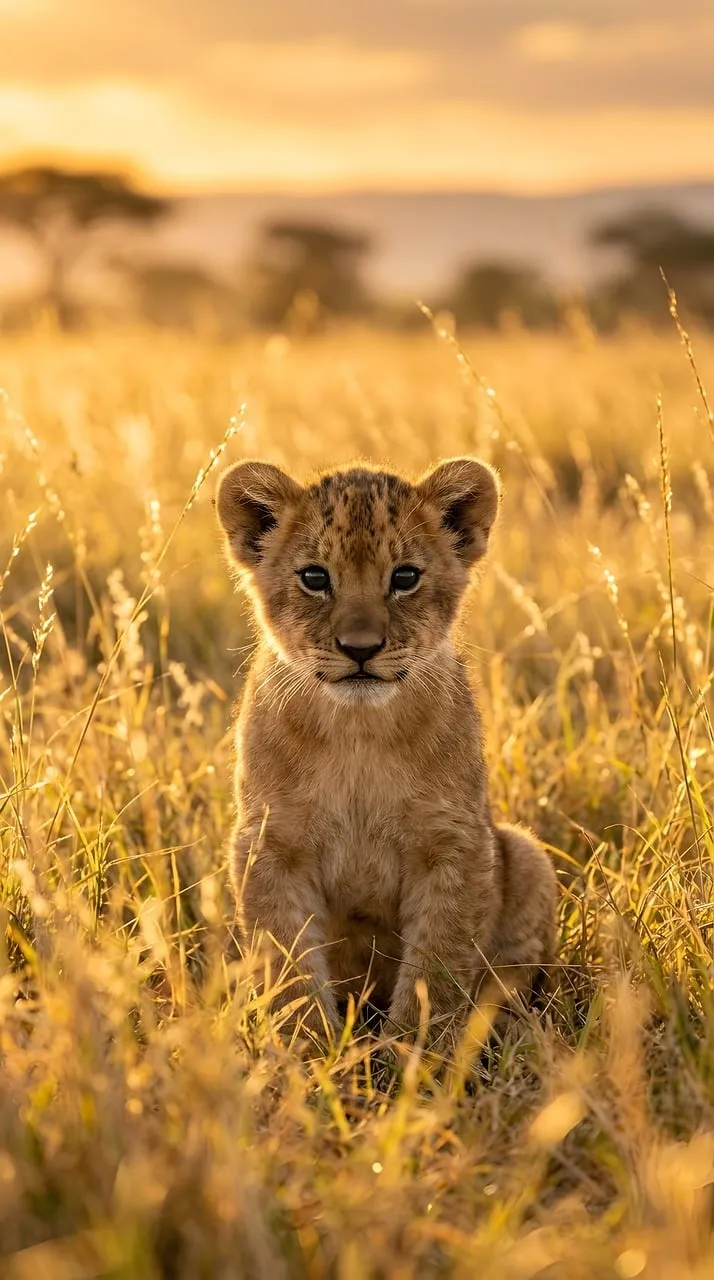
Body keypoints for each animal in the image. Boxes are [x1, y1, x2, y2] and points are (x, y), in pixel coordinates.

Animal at [216, 456, 557, 1053]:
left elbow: (436, 965)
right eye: (314, 578)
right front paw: (310, 1054)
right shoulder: (269, 845)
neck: (358, 732)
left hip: (525, 852)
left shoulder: (453, 844)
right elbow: (289, 967)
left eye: (405, 577)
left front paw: (414, 1057)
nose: (361, 649)